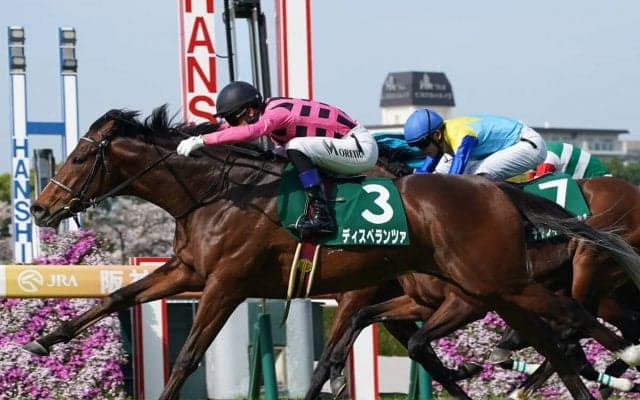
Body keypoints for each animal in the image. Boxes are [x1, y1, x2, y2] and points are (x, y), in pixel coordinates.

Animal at [307, 175, 640, 399]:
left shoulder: (466, 302)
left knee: (578, 322)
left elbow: (415, 343)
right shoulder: (420, 302)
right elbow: (372, 325)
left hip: (588, 267)